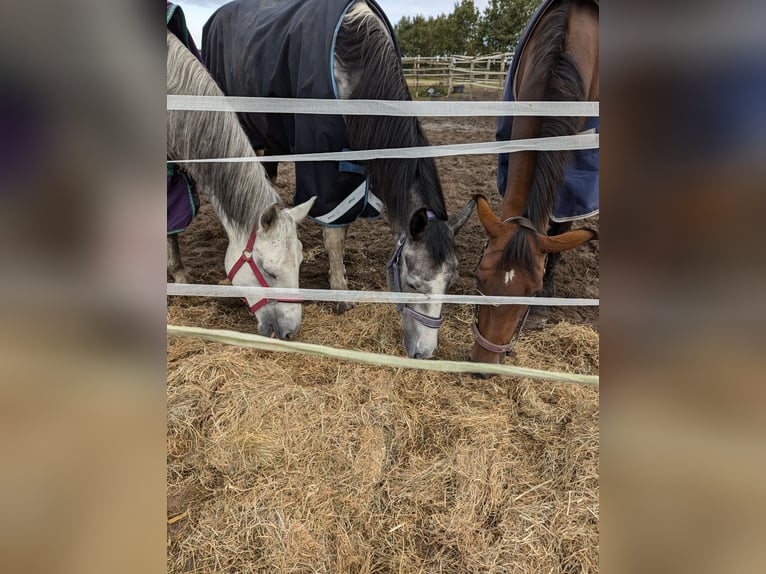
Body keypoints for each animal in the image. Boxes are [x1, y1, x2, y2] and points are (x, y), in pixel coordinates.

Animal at [204, 0, 476, 360]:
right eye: (413, 283)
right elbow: (334, 234)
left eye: (452, 282)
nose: (425, 353)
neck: (354, 64)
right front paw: (341, 295)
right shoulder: (323, 168)